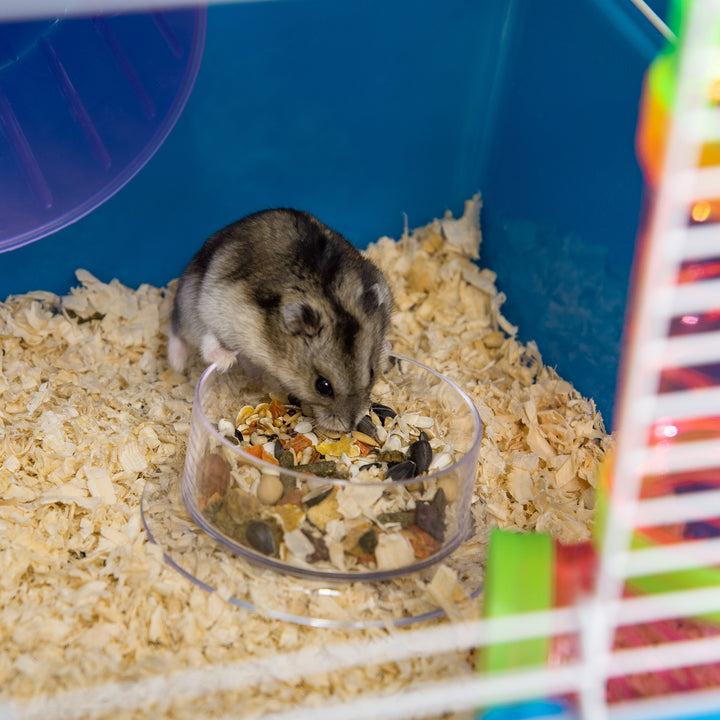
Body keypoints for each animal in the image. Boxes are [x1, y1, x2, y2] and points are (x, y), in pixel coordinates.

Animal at [168, 208, 392, 432]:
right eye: (322, 386)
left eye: (372, 372)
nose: (351, 425)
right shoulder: (224, 312)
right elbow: (209, 339)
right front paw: (227, 361)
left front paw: (385, 347)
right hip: (192, 304)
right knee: (183, 332)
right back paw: (185, 364)